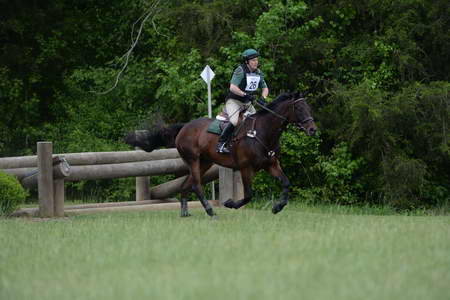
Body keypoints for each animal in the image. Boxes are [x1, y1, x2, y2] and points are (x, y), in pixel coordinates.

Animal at [125, 91, 318, 218]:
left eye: (309, 107)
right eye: (299, 108)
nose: (312, 130)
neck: (263, 132)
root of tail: (184, 127)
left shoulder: (270, 164)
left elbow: (286, 183)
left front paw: (278, 207)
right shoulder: (246, 168)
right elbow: (248, 195)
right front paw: (230, 204)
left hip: (205, 162)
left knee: (186, 185)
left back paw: (185, 212)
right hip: (193, 160)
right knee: (196, 185)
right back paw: (211, 211)